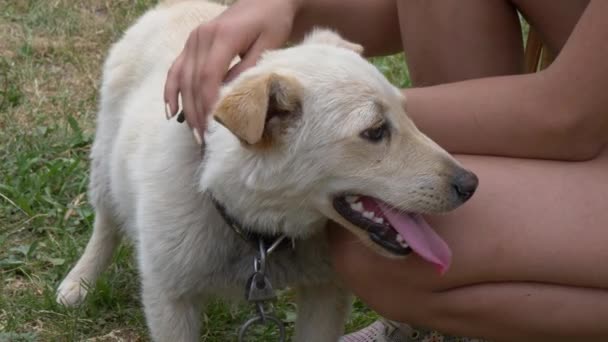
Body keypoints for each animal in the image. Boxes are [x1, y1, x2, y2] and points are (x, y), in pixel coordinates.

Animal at [57, 1, 478, 340]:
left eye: (408, 114)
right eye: (374, 132)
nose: (470, 184)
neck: (258, 229)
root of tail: (174, 5)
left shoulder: (325, 294)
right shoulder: (170, 302)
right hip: (104, 163)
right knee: (106, 224)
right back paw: (80, 281)